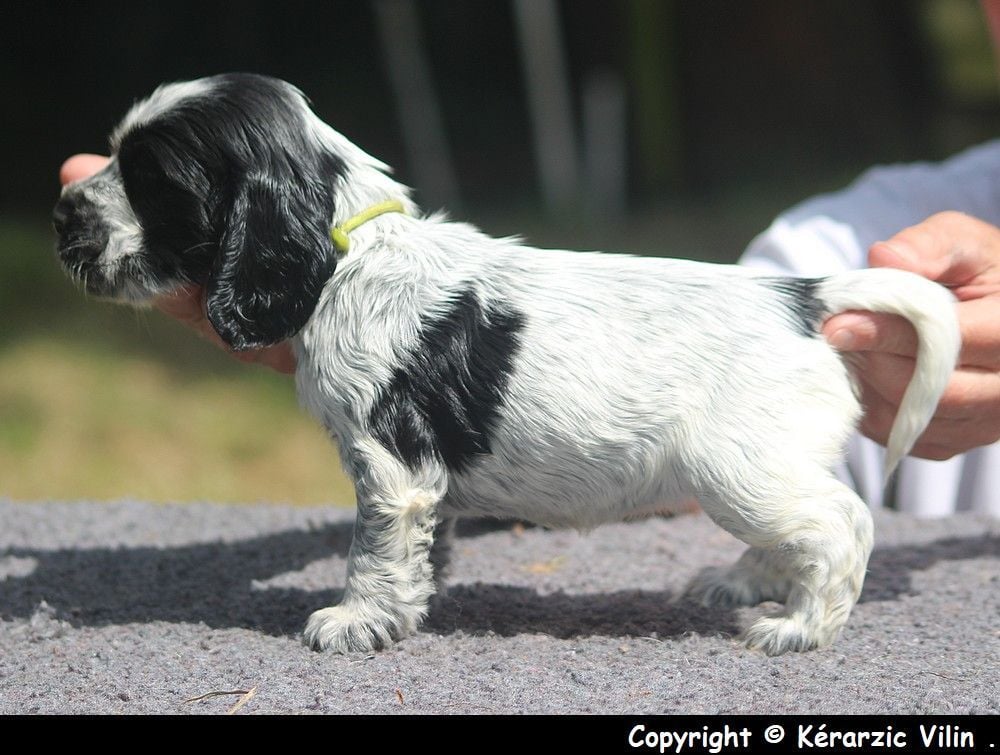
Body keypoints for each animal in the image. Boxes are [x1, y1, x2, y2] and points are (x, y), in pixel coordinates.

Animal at [52, 74, 960, 660]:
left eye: (152, 181)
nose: (63, 214)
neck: (353, 254)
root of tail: (802, 295)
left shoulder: (388, 466)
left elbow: (372, 547)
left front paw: (355, 620)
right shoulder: (415, 479)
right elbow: (419, 542)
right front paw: (414, 601)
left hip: (739, 469)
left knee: (841, 524)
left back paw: (801, 628)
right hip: (757, 471)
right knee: (797, 532)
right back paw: (741, 583)